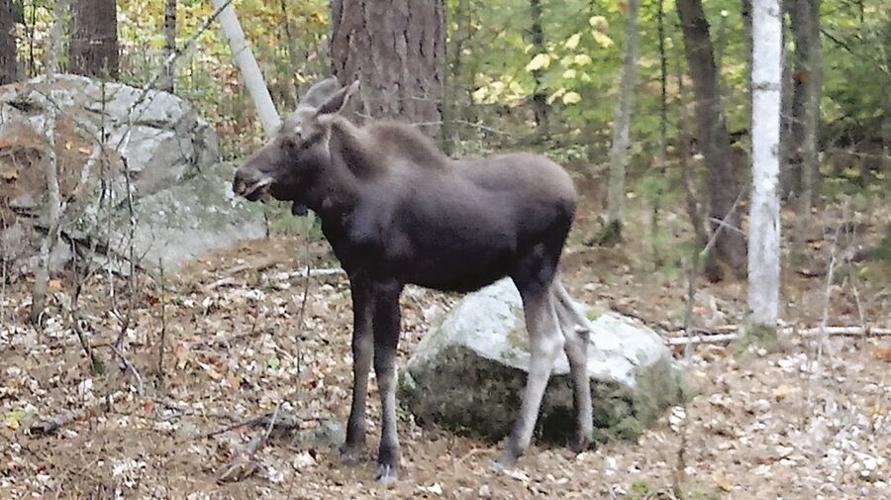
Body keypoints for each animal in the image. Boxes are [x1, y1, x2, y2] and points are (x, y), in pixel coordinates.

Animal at [232, 77, 594, 484]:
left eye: (293, 141)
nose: (242, 178)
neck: (343, 201)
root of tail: (574, 194)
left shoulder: (389, 280)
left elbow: (386, 366)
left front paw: (389, 456)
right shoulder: (358, 276)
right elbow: (360, 351)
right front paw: (352, 442)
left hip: (532, 270)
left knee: (548, 339)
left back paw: (514, 448)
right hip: (550, 273)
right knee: (578, 328)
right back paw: (582, 434)